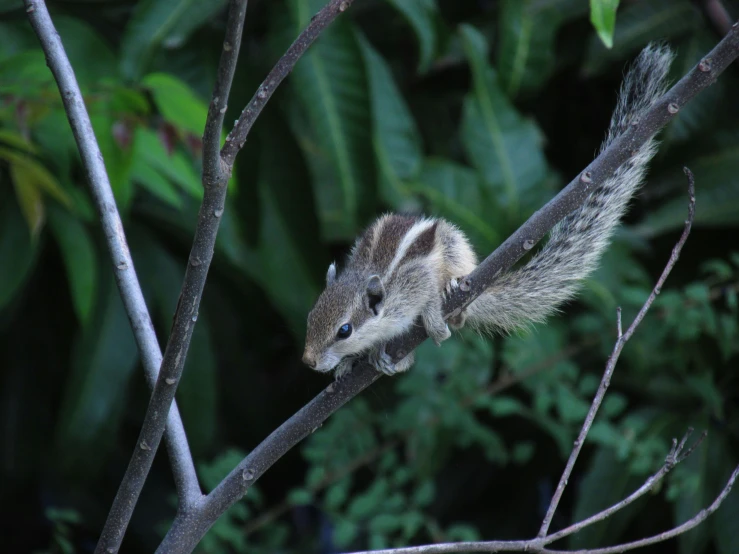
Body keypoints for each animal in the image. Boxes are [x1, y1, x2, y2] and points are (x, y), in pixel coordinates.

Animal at [302, 45, 676, 378]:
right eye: (311, 316)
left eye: (344, 330)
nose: (309, 361)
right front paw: (350, 363)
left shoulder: (414, 280)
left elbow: (427, 296)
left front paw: (433, 317)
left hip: (456, 248)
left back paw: (452, 298)